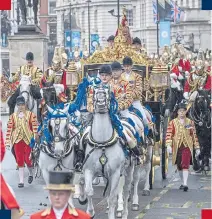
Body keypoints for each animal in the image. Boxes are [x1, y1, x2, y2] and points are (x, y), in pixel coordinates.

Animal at [78, 86, 126, 219]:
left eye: (108, 91)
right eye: (93, 91)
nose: (100, 100)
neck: (102, 143)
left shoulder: (115, 173)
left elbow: (112, 198)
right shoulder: (89, 170)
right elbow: (89, 191)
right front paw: (90, 212)